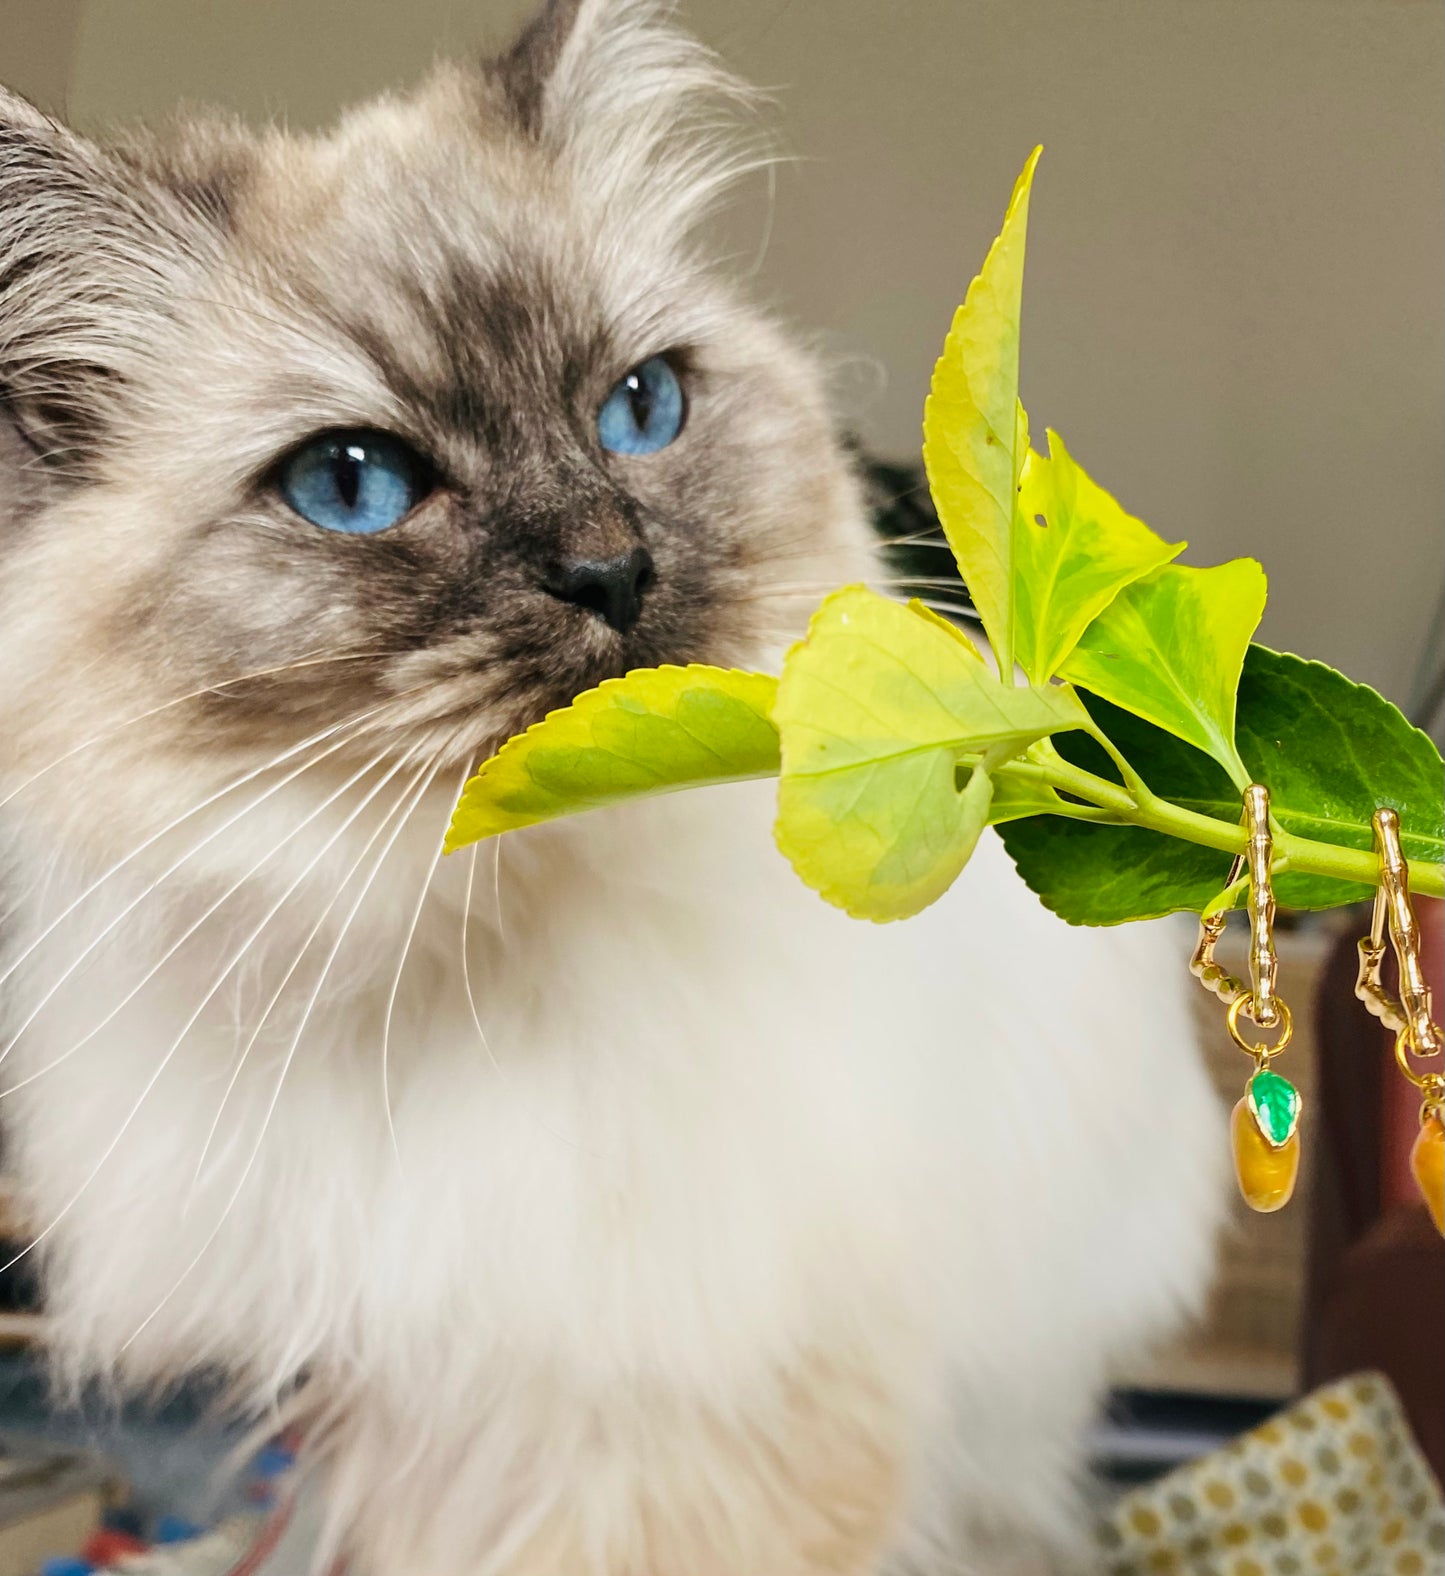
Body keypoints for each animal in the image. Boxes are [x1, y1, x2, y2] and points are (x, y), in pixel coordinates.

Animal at [0, 3, 1222, 1576]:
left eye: (639, 408)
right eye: (351, 484)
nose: (608, 568)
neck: (483, 967)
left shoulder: (703, 1428)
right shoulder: (416, 1404)